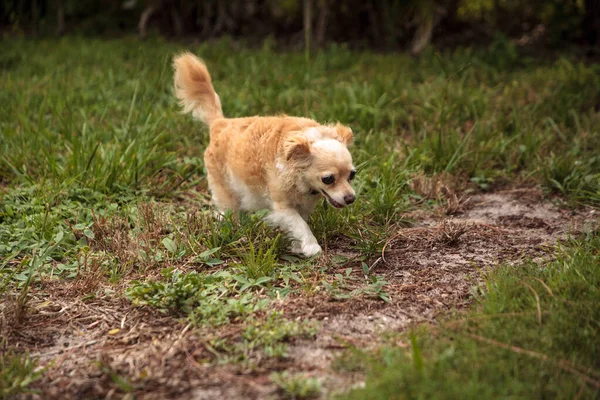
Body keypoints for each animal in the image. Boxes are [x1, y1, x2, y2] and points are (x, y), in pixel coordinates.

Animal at [172, 53, 356, 256]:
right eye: (328, 179)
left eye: (352, 175)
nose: (351, 198)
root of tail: (220, 123)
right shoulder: (282, 208)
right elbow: (300, 225)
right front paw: (311, 246)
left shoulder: (302, 205)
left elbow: (299, 224)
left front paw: (297, 246)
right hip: (224, 190)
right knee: (225, 212)